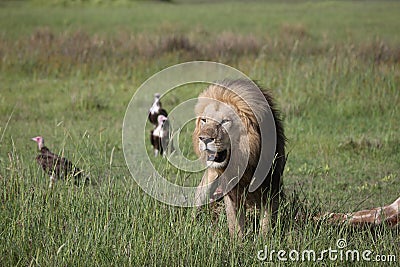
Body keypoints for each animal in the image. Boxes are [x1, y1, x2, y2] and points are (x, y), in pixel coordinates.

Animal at [193, 79, 284, 239]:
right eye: (204, 120)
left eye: (225, 121)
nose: (204, 139)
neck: (243, 160)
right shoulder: (231, 189)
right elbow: (234, 221)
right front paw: (237, 242)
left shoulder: (270, 184)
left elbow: (266, 221)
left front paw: (263, 240)